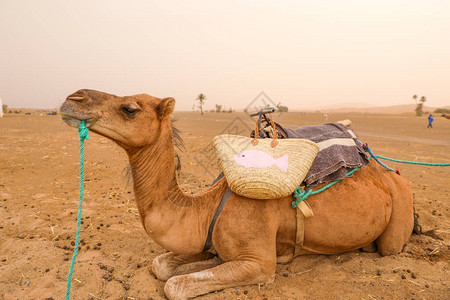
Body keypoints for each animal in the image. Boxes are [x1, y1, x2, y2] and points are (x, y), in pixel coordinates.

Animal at [60, 89, 414, 300]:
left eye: (130, 108)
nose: (73, 98)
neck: (206, 206)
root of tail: (389, 170)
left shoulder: (259, 263)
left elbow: (174, 285)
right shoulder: (209, 239)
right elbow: (161, 265)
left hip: (400, 209)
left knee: (390, 247)